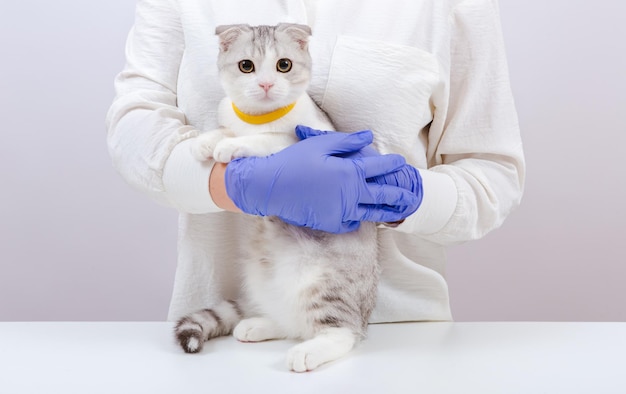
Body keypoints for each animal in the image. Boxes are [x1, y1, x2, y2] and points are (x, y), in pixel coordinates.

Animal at [176, 23, 380, 374]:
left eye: (283, 65)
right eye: (246, 66)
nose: (266, 83)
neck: (258, 119)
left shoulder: (305, 142)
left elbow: (267, 139)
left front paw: (233, 145)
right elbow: (225, 129)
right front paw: (208, 140)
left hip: (326, 283)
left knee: (343, 331)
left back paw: (308, 352)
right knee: (294, 324)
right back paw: (258, 325)